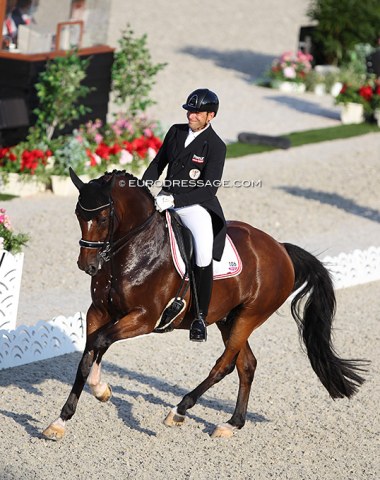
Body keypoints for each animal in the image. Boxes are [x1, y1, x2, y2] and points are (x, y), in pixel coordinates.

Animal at [43, 168, 366, 438]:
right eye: (77, 214)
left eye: (102, 218)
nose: (88, 265)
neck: (132, 252)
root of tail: (280, 249)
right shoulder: (99, 311)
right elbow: (89, 352)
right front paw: (65, 417)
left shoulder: (143, 318)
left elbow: (99, 342)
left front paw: (98, 390)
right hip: (228, 319)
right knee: (246, 364)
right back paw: (232, 424)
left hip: (249, 316)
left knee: (225, 365)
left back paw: (179, 410)